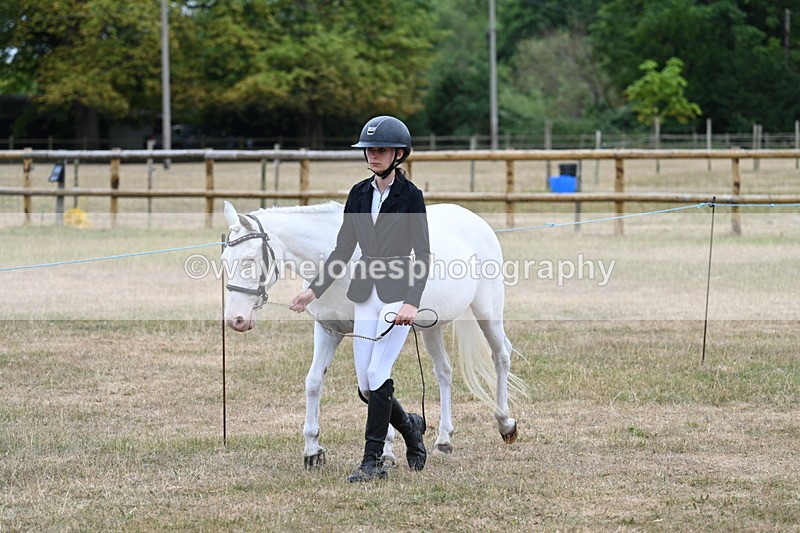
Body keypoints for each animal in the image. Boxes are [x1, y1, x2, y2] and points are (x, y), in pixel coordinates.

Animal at [222, 200, 525, 468]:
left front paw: (386, 451)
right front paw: (313, 450)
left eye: (249, 260)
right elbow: (314, 382)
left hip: (487, 311)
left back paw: (505, 423)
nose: (236, 320)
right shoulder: (328, 330)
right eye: (225, 260)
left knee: (501, 355)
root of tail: (474, 219)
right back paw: (444, 438)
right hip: (432, 326)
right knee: (444, 371)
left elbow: (374, 383)